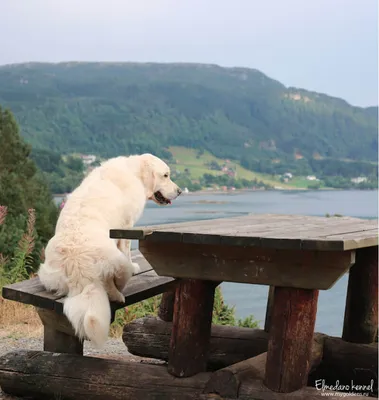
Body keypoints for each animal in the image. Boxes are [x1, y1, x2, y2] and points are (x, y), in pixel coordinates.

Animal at [37, 155, 182, 348]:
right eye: (165, 175)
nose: (179, 191)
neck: (134, 171)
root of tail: (77, 265)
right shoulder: (126, 226)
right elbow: (126, 249)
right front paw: (135, 266)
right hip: (118, 265)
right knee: (111, 284)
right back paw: (118, 296)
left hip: (47, 273)